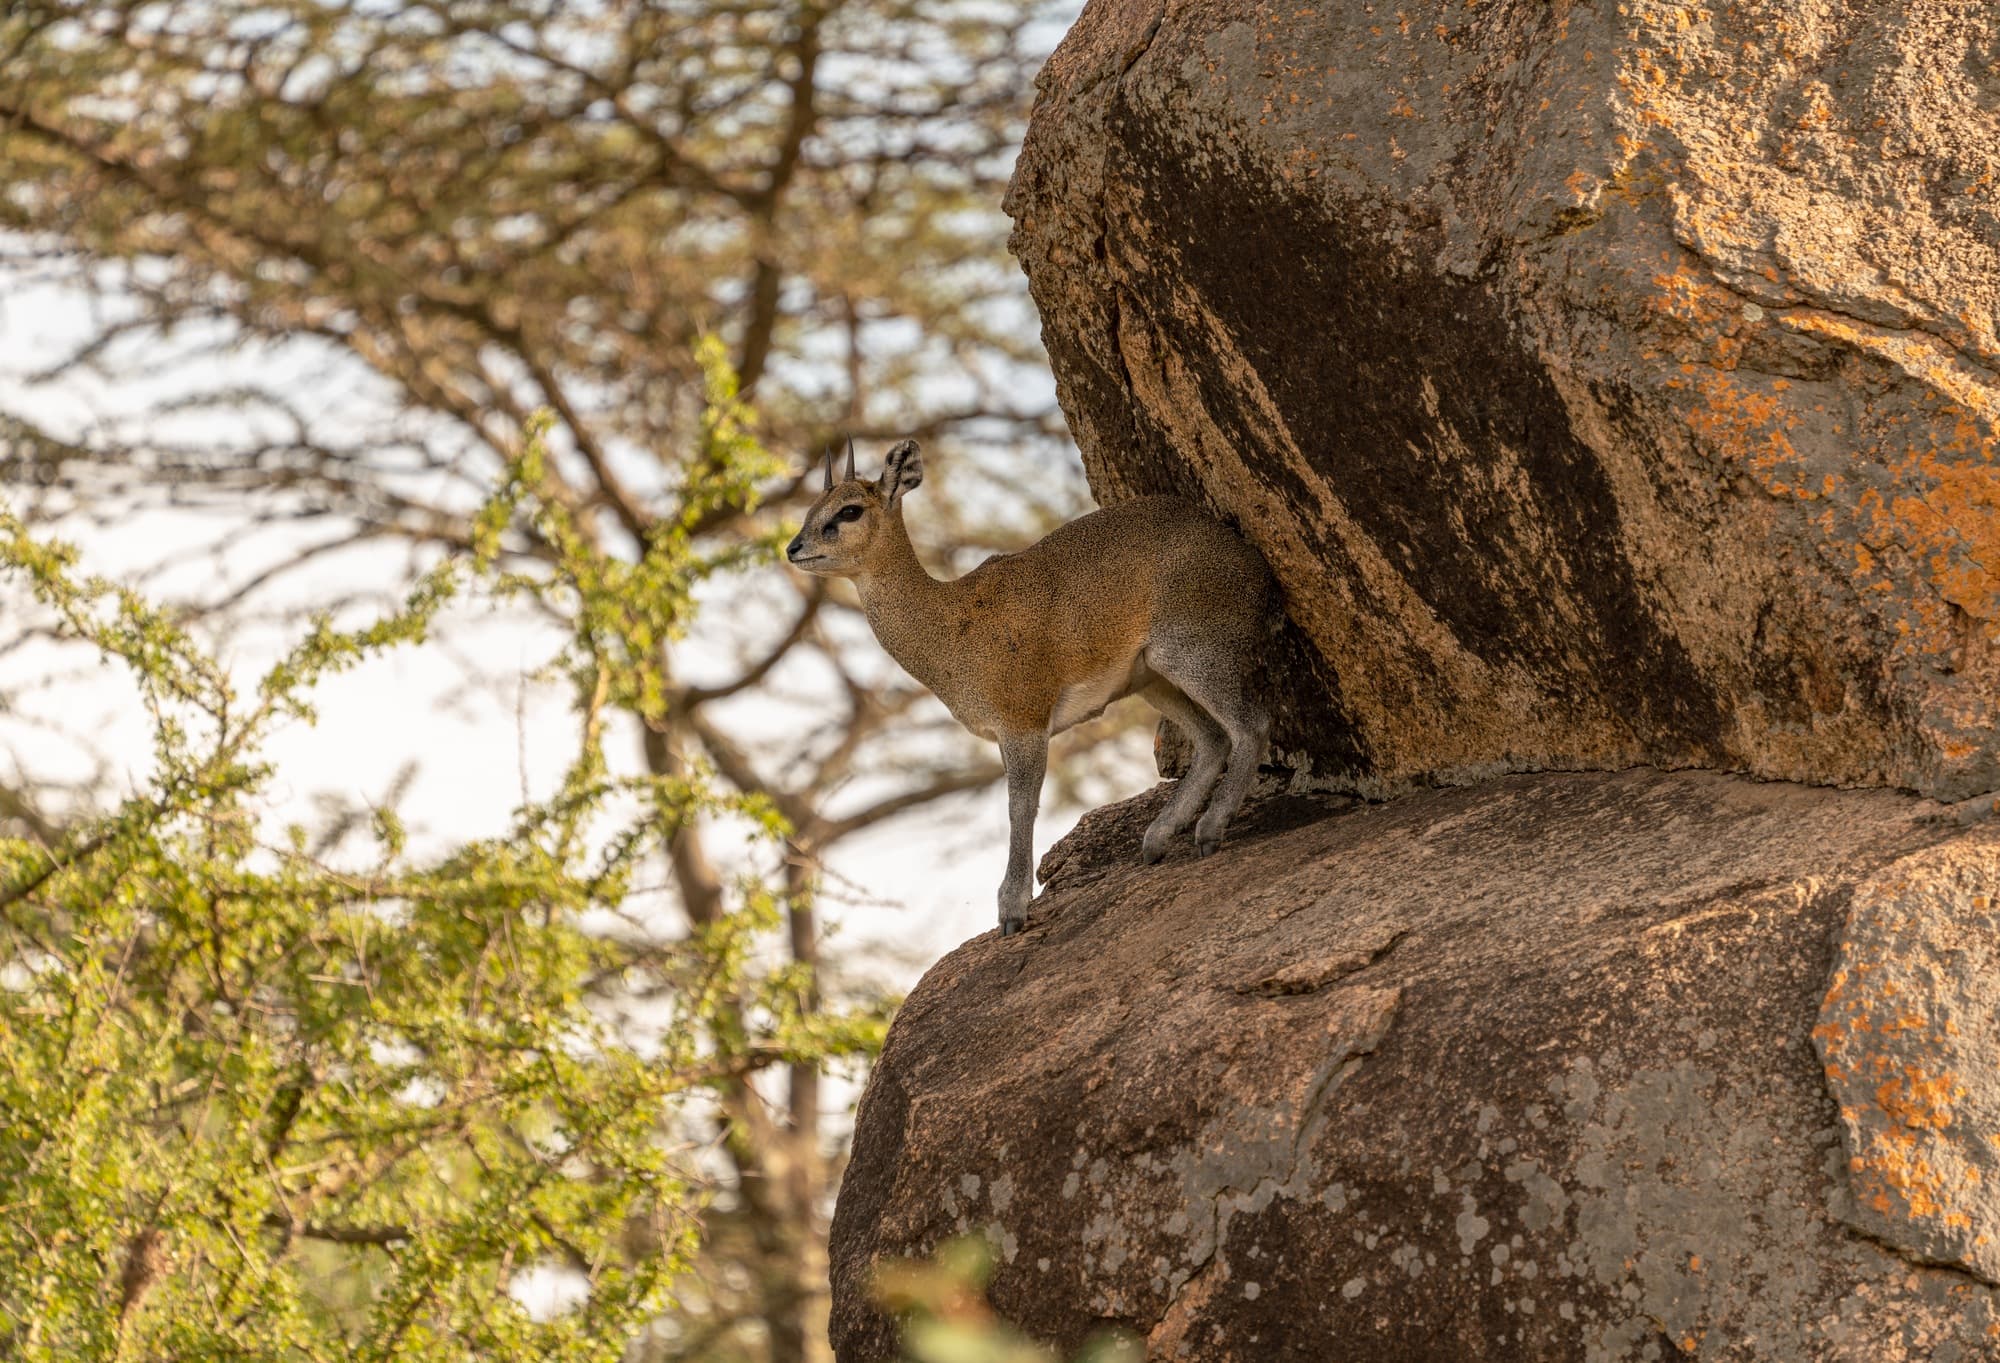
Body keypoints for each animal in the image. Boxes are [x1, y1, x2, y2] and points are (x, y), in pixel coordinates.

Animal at [786, 441, 1276, 937]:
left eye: (849, 510)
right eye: (811, 509)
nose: (793, 548)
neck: (951, 622)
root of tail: (1250, 559)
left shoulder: (1023, 723)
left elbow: (1020, 807)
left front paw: (1011, 910)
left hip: (1192, 653)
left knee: (1251, 726)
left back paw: (1209, 830)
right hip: (1153, 678)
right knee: (1213, 739)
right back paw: (1157, 839)